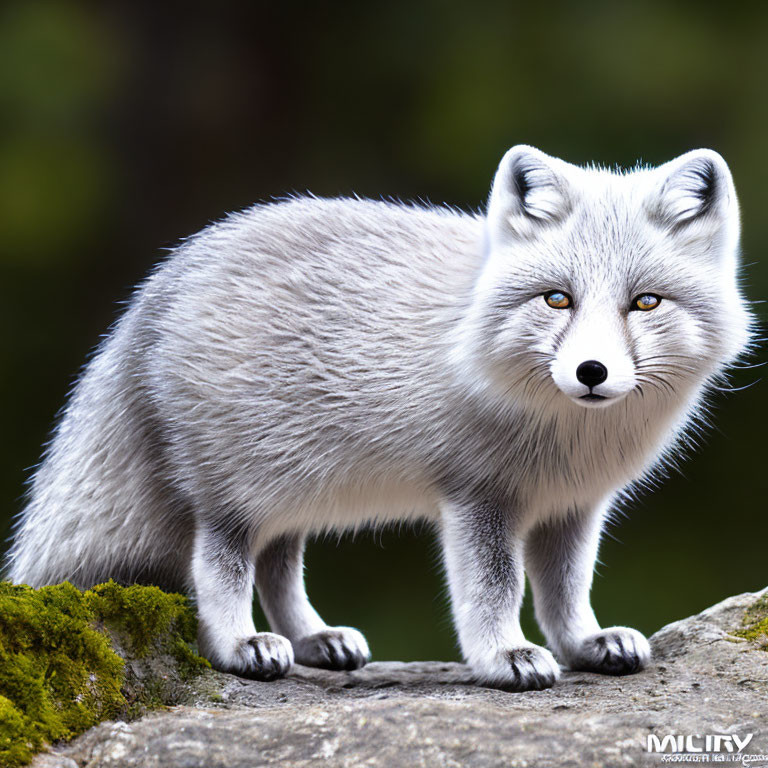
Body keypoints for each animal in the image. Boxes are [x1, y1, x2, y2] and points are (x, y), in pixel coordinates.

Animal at [6, 144, 752, 688]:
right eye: (557, 299)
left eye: (645, 302)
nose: (591, 373)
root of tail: (164, 278)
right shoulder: (478, 498)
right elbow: (497, 589)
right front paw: (503, 657)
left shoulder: (572, 505)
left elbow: (565, 593)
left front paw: (584, 644)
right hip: (236, 496)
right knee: (218, 568)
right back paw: (243, 645)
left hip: (291, 492)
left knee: (277, 567)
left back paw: (315, 640)